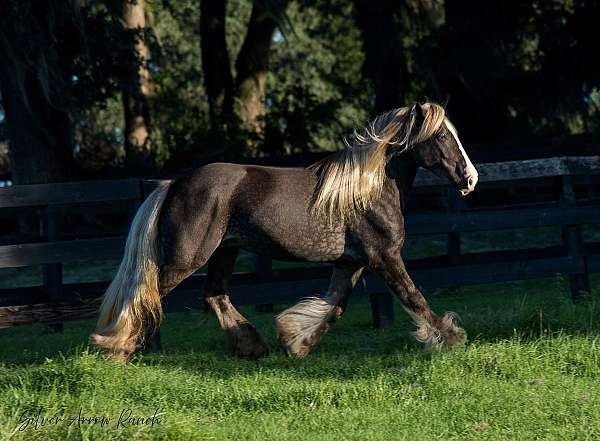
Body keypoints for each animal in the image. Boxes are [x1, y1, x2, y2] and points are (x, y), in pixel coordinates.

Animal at [90, 102, 478, 360]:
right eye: (442, 135)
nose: (470, 179)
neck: (365, 190)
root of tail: (175, 183)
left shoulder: (352, 262)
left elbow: (335, 307)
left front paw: (296, 343)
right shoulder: (384, 256)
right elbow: (413, 297)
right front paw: (451, 337)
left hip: (224, 251)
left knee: (214, 295)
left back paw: (251, 345)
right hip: (186, 258)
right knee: (144, 294)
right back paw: (116, 349)